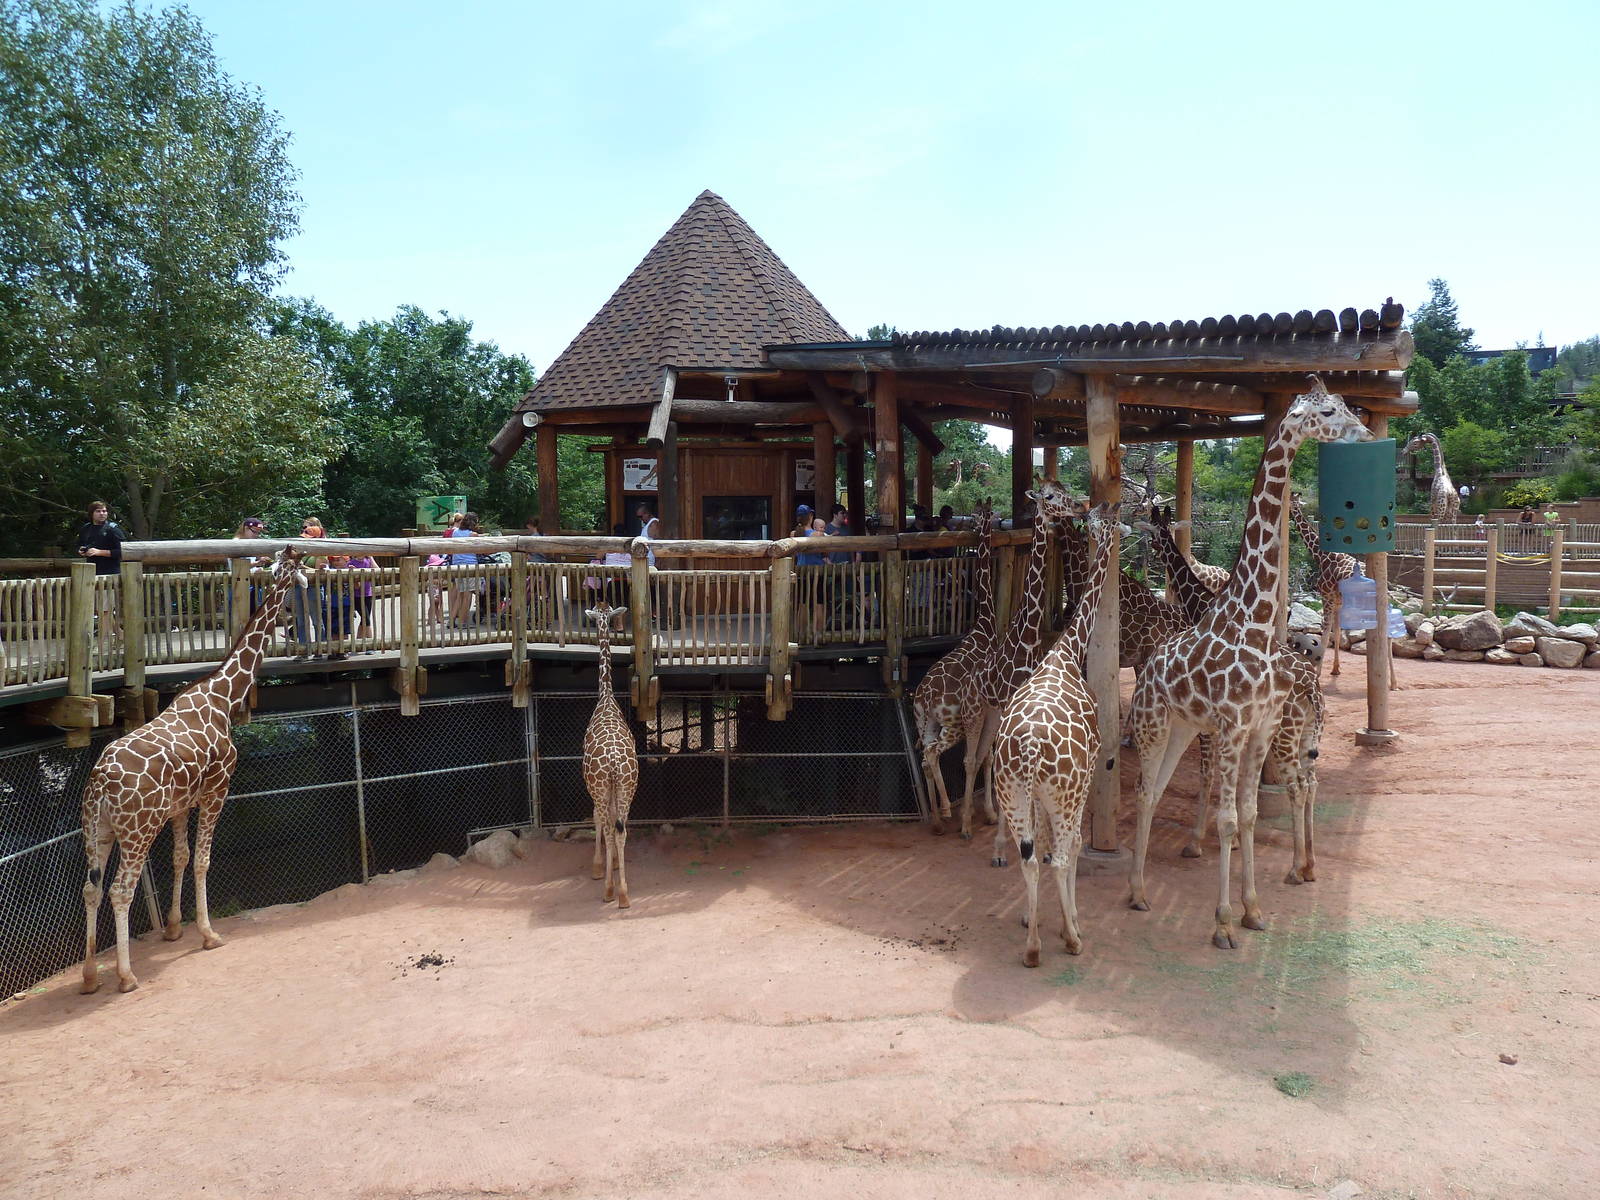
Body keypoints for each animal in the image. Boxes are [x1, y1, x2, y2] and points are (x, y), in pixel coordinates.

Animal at [80, 548, 306, 993]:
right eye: (299, 567)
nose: (292, 614)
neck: (223, 695)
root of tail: (99, 783)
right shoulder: (217, 788)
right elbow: (202, 860)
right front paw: (208, 934)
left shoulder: (181, 804)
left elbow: (181, 857)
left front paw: (172, 929)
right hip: (138, 830)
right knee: (120, 890)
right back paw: (126, 976)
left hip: (98, 829)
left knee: (91, 888)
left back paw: (91, 976)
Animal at [911, 502, 997, 835]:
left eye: (975, 514)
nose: (969, 523)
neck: (985, 626)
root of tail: (924, 698)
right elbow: (985, 756)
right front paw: (988, 814)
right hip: (953, 723)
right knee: (933, 753)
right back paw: (948, 810)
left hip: (925, 723)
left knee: (924, 756)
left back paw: (936, 819)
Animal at [966, 478, 1076, 840]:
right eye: (1051, 496)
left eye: (1065, 489)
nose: (1079, 506)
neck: (1027, 639)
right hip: (977, 712)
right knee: (972, 759)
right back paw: (965, 825)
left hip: (993, 715)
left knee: (983, 757)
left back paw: (985, 815)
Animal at [989, 502, 1119, 966]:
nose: (1093, 513)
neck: (1066, 649)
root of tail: (1028, 749)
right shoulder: (1084, 781)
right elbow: (1073, 847)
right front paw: (1071, 922)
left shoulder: (1038, 797)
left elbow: (1040, 846)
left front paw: (1033, 918)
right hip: (1064, 794)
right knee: (1062, 855)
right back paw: (1072, 941)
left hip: (1013, 791)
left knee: (1030, 858)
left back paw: (1032, 947)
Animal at [1288, 492, 1356, 677]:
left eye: (1291, 500)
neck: (1320, 555)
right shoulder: (1338, 602)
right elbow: (1337, 632)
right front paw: (1335, 669)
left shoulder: (1326, 597)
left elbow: (1325, 634)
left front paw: (1317, 672)